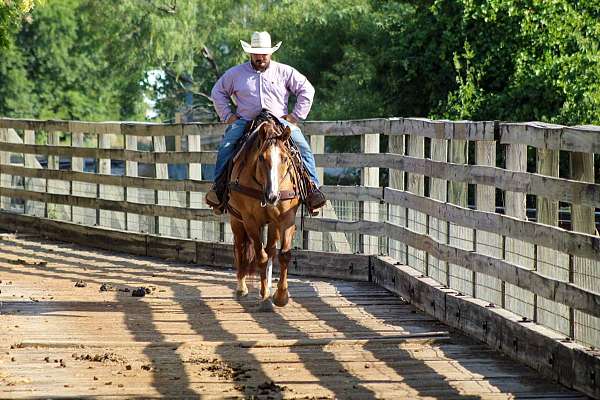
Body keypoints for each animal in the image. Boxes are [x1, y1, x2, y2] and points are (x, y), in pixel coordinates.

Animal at [225, 114, 300, 310]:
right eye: (261, 158)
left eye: (285, 158)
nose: (272, 196)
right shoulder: (249, 220)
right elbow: (261, 257)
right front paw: (265, 296)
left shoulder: (287, 219)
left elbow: (284, 255)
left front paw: (281, 296)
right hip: (236, 221)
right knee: (240, 247)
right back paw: (241, 287)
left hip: (272, 224)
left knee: (271, 250)